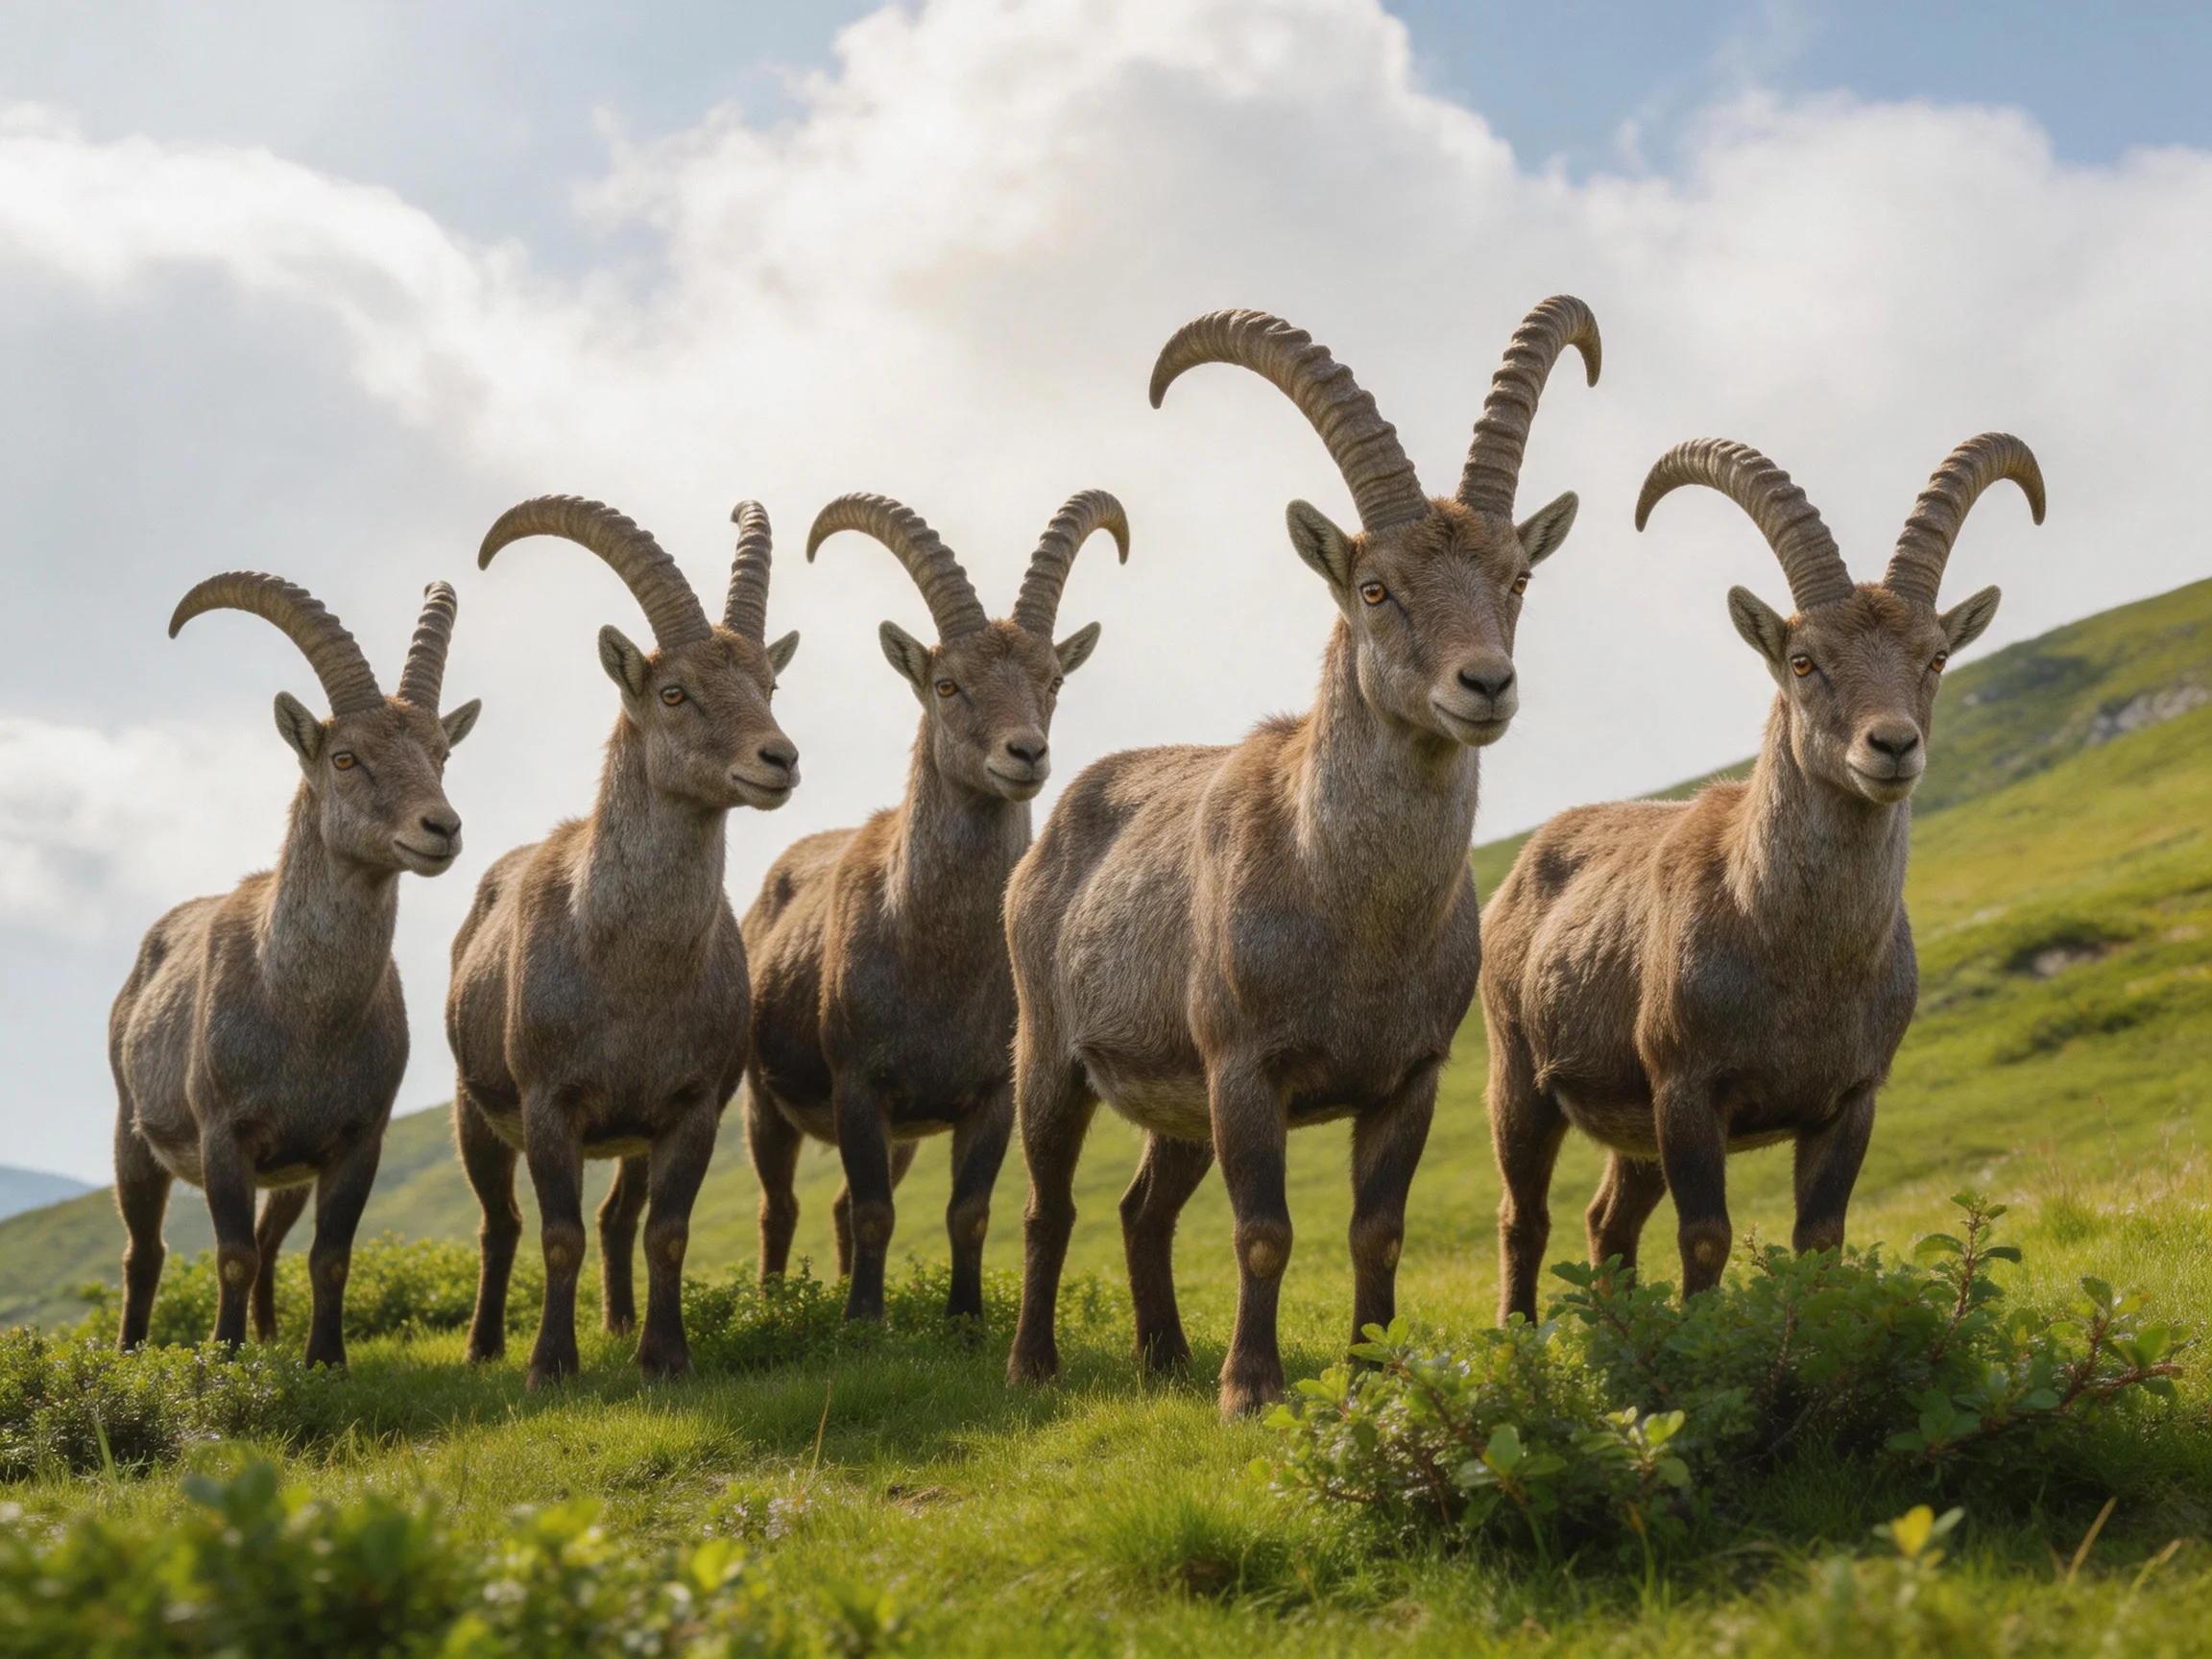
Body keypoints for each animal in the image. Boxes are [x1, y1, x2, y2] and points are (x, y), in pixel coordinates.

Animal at [110, 575, 478, 1365]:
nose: (442, 828)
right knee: (145, 1253)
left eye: (442, 754)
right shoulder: (224, 1135)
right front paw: (221, 1363)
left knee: (274, 1245)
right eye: (344, 757)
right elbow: (231, 1256)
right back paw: (127, 1357)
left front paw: (326, 1362)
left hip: (286, 1174)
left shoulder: (355, 1140)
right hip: (133, 1135)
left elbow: (329, 1257)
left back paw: (271, 1341)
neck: (306, 1012)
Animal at [447, 497, 799, 1386]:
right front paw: (549, 1366)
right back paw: (484, 1344)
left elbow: (665, 1234)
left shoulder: (689, 1106)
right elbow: (556, 1235)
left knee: (616, 1220)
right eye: (674, 691)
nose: (779, 759)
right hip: (475, 1114)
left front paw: (665, 1357)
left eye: (770, 684)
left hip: (632, 1137)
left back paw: (619, 1323)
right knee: (500, 1225)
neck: (630, 967)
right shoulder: (549, 1105)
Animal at [742, 490, 1127, 1322]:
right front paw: (863, 1321)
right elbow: (874, 1210)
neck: (935, 952)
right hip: (764, 1098)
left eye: (1054, 679)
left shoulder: (988, 1094)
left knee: (830, 1206)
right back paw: (775, 1304)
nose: (1025, 754)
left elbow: (967, 1211)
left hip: (905, 1132)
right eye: (947, 684)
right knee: (780, 1206)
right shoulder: (860, 1085)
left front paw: (967, 1319)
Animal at [1004, 299, 1599, 1415]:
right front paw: (1251, 1389)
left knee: (1144, 1208)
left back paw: (1164, 1355)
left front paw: (1375, 1374)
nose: (1486, 684)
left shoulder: (1410, 1078)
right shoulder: (1245, 1071)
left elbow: (1378, 1231)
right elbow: (1263, 1233)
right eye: (1374, 588)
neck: (1351, 909)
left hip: (1177, 1106)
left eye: (1519, 577)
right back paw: (1033, 1364)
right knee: (1048, 1206)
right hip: (1049, 1056)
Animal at [1479, 434, 2044, 1321]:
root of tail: (1522, 867)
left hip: (1633, 1133)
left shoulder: (1849, 1100)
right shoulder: (1686, 1089)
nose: (1893, 746)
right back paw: (1519, 1333)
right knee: (1522, 1214)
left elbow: (1820, 1242)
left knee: (1607, 1220)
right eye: (1805, 661)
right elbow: (1706, 1236)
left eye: (1937, 656)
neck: (1798, 956)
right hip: (1519, 1078)